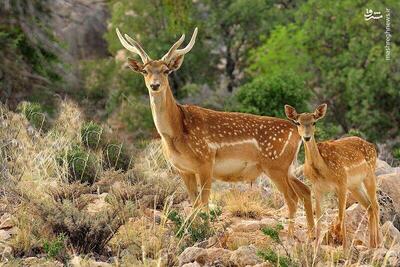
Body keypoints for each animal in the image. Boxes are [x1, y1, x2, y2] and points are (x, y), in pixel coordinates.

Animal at [115, 27, 316, 237]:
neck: (176, 133)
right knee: (305, 191)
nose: (155, 85)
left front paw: (204, 232)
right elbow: (194, 202)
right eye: (145, 71)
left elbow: (204, 203)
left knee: (292, 198)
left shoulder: (206, 161)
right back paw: (311, 234)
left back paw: (291, 235)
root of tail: (297, 132)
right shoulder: (183, 169)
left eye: (166, 70)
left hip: (276, 165)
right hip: (288, 167)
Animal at [284, 104, 378, 249]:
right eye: (298, 122)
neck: (323, 170)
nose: (306, 137)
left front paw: (344, 248)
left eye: (314, 122)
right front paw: (316, 247)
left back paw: (379, 243)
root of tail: (372, 146)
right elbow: (319, 217)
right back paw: (372, 244)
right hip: (354, 185)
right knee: (369, 206)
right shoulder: (317, 188)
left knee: (375, 205)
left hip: (369, 175)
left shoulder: (341, 182)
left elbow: (341, 215)